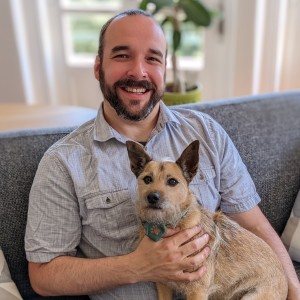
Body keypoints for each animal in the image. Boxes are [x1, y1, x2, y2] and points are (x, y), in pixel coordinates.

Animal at [125, 141, 288, 300]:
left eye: (172, 182)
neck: (169, 223)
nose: (152, 197)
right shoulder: (163, 284)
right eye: (147, 179)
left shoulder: (197, 290)